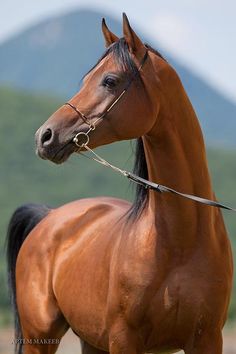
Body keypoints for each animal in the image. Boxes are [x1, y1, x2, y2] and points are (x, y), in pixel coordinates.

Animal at [6, 13, 233, 354]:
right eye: (86, 80)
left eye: (109, 81)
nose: (44, 136)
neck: (180, 241)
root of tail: (49, 216)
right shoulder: (124, 339)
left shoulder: (207, 339)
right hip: (39, 337)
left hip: (91, 340)